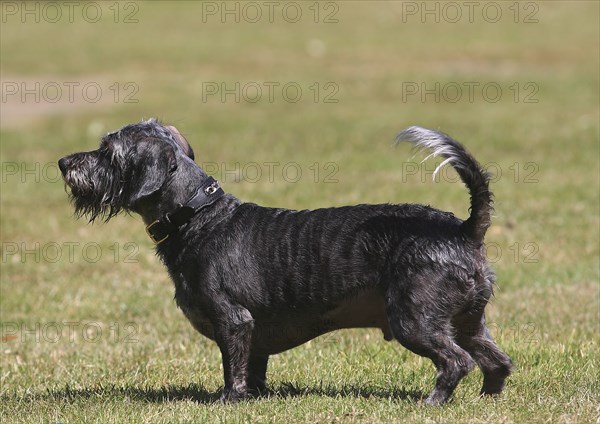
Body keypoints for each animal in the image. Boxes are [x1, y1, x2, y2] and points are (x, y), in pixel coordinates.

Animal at [58, 119, 512, 404]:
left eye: (108, 151)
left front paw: (228, 401)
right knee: (497, 362)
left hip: (415, 320)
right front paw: (255, 397)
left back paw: (433, 402)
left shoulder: (233, 321)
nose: (63, 163)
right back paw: (487, 401)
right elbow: (254, 369)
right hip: (468, 321)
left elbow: (233, 370)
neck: (198, 216)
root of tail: (463, 229)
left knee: (457, 362)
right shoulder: (255, 334)